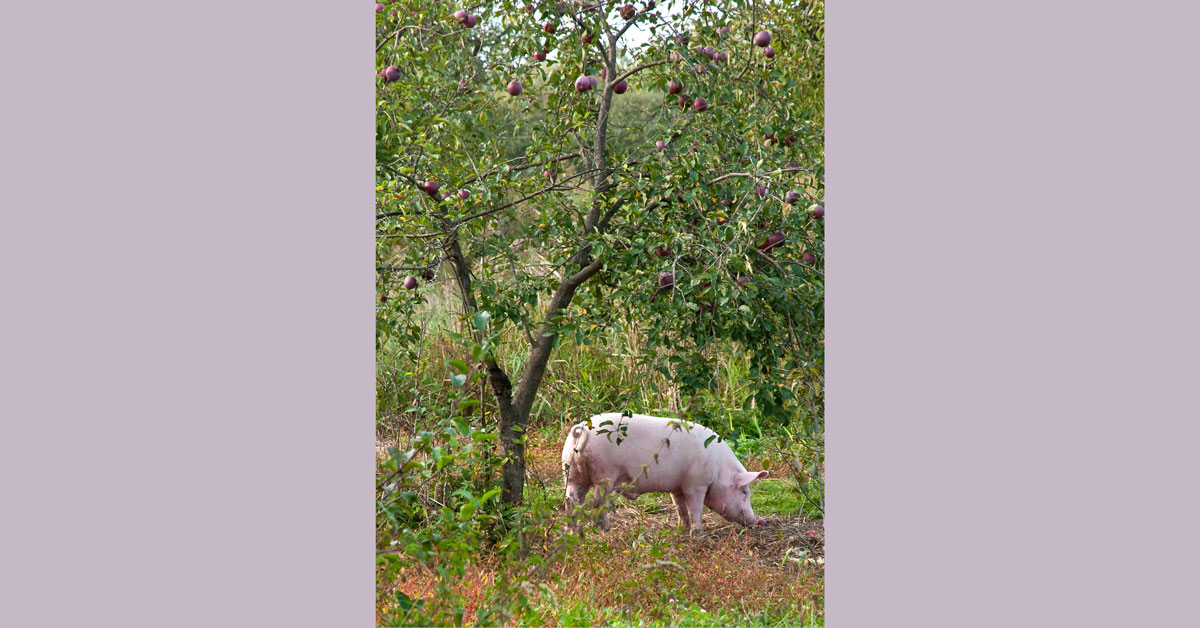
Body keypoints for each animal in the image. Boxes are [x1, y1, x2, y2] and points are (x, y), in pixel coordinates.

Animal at [561, 415, 768, 533]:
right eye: (745, 492)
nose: (758, 520)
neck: (719, 469)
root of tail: (581, 431)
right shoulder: (696, 484)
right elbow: (695, 508)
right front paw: (697, 533)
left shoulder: (676, 487)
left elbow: (680, 507)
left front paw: (682, 529)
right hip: (604, 474)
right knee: (598, 502)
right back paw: (604, 528)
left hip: (571, 472)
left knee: (571, 499)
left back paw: (573, 529)